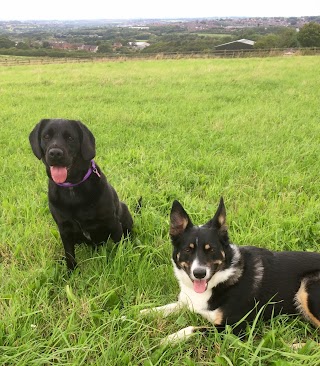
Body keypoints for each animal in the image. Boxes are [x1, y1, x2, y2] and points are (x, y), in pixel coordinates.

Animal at [28, 118, 131, 270]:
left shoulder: (113, 223)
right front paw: (71, 272)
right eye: (46, 136)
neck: (72, 189)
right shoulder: (64, 230)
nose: (55, 153)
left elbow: (120, 247)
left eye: (70, 138)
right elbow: (69, 255)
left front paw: (122, 264)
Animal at [141, 197, 320, 344]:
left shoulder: (233, 327)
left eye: (211, 249)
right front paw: (138, 313)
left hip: (307, 287)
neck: (220, 280)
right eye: (188, 249)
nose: (199, 273)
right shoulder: (185, 302)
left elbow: (192, 328)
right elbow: (160, 309)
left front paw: (168, 339)